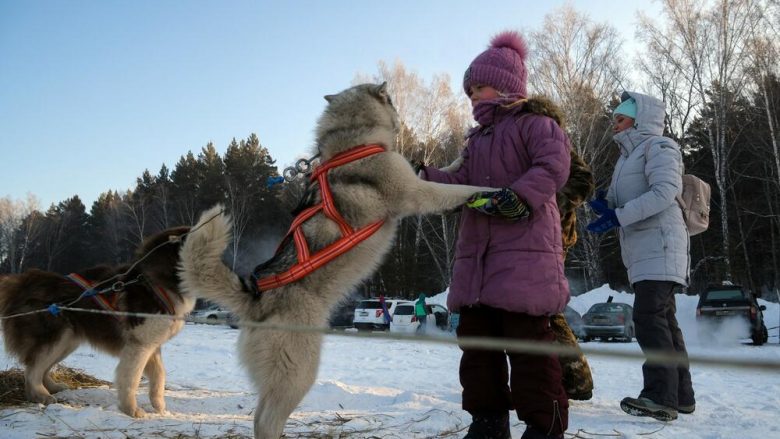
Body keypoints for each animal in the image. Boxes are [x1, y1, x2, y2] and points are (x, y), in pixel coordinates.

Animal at [0, 227, 193, 420]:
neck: (156, 283)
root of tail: (23, 281)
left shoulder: (151, 344)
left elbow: (159, 374)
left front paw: (159, 405)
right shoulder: (138, 346)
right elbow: (131, 379)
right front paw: (131, 409)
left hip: (67, 342)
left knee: (42, 368)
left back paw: (53, 387)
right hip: (55, 338)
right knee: (32, 370)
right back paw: (41, 395)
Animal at [178, 82, 494, 439]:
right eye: (392, 101)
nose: (399, 119)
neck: (354, 141)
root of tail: (256, 295)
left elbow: (444, 173)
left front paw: (459, 159)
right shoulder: (415, 192)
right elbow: (457, 189)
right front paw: (492, 189)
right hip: (299, 371)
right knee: (266, 420)